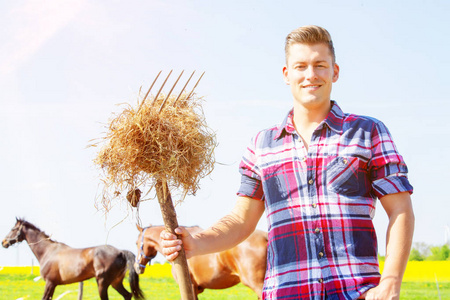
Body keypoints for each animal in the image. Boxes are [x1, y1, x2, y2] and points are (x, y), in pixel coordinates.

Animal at [1, 218, 145, 300]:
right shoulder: (52, 284)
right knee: (127, 295)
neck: (48, 251)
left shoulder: (50, 283)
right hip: (116, 282)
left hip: (103, 283)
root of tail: (121, 252)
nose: (4, 242)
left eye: (13, 229)